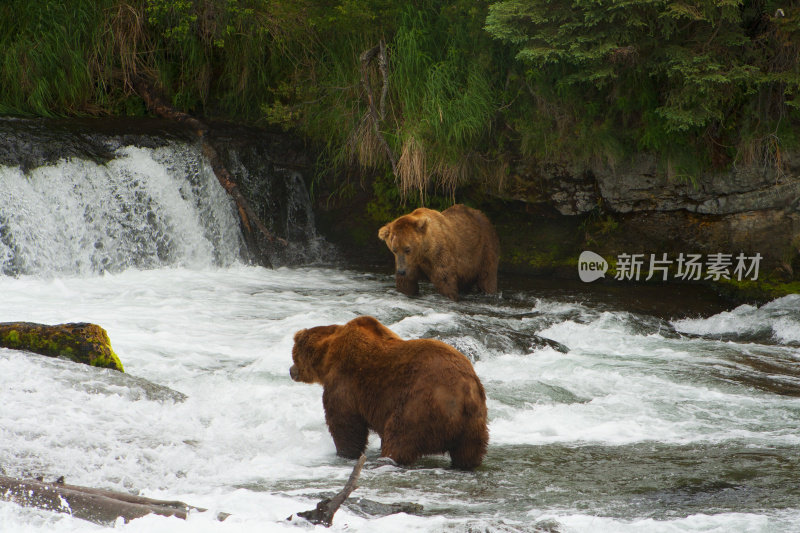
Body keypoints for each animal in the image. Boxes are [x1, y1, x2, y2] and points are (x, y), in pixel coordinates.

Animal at [288, 314, 488, 468]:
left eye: (294, 355)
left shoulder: (345, 381)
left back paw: (388, 458)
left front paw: (345, 453)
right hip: (474, 423)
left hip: (419, 404)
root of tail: (465, 392)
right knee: (469, 452)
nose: (291, 371)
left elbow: (344, 422)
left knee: (400, 438)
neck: (327, 355)